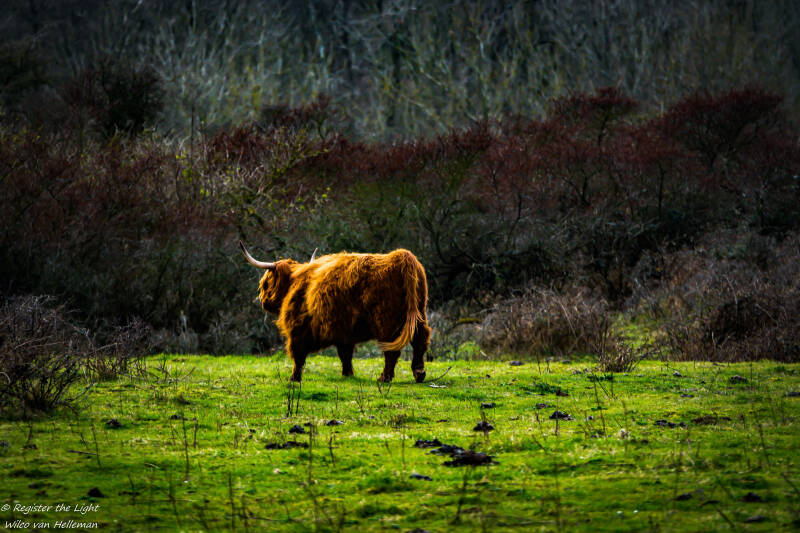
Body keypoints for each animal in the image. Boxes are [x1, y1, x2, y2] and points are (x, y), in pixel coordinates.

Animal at [240, 241, 431, 383]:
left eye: (265, 283)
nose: (263, 301)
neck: (294, 282)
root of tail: (401, 257)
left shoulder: (298, 329)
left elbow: (298, 356)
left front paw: (294, 378)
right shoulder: (344, 332)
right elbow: (345, 355)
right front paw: (348, 374)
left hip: (385, 321)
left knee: (392, 351)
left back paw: (384, 378)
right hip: (419, 314)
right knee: (420, 341)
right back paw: (419, 373)